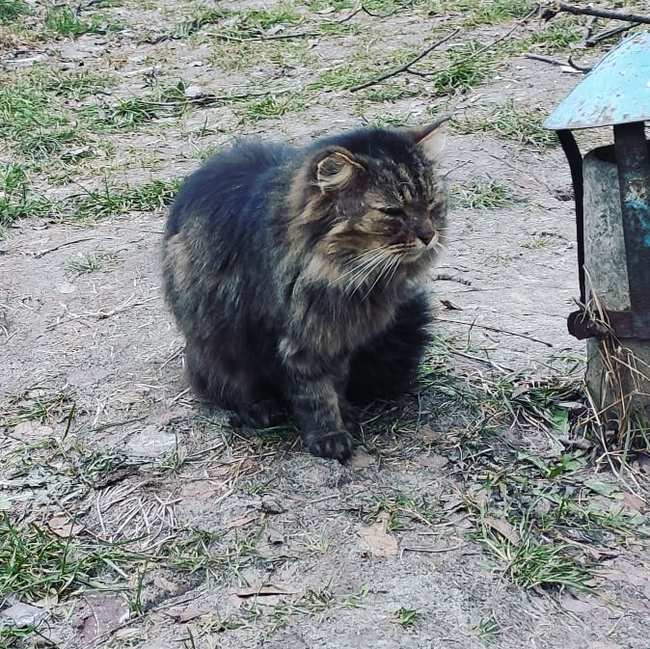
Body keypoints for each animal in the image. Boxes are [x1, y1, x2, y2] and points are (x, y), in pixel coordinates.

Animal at [161, 123, 446, 460]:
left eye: (432, 204)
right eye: (392, 212)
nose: (429, 235)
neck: (349, 275)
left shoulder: (337, 339)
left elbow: (337, 383)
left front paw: (344, 413)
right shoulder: (295, 340)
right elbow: (314, 394)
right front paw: (329, 436)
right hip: (215, 340)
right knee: (221, 384)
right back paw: (259, 408)